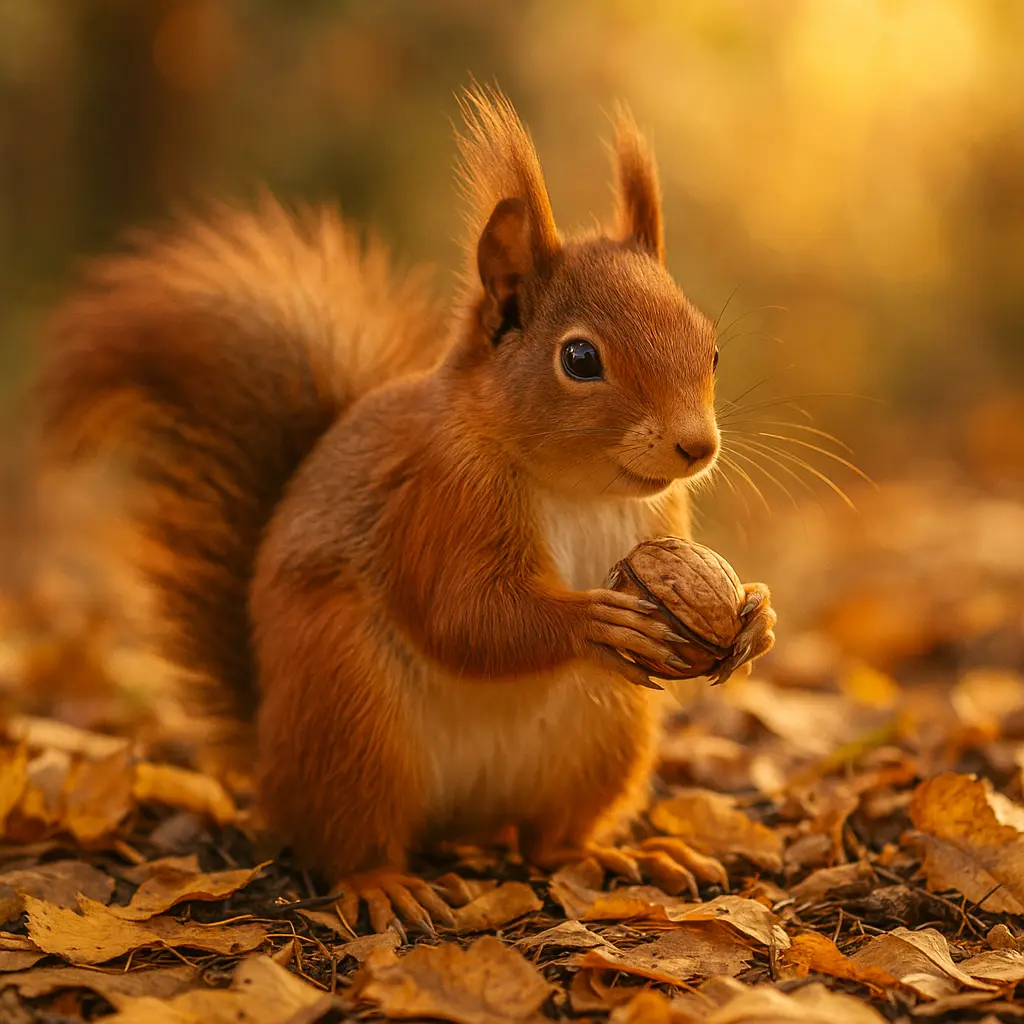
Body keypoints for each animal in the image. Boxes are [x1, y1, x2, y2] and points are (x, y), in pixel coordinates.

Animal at [33, 86, 776, 934]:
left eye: (710, 347)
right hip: (349, 709)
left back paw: (617, 855)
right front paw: (594, 621)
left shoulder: (662, 519)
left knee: (547, 841)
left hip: (605, 738)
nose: (697, 446)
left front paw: (755, 613)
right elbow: (464, 614)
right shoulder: (438, 499)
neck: (581, 488)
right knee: (350, 838)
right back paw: (382, 885)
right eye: (581, 359)